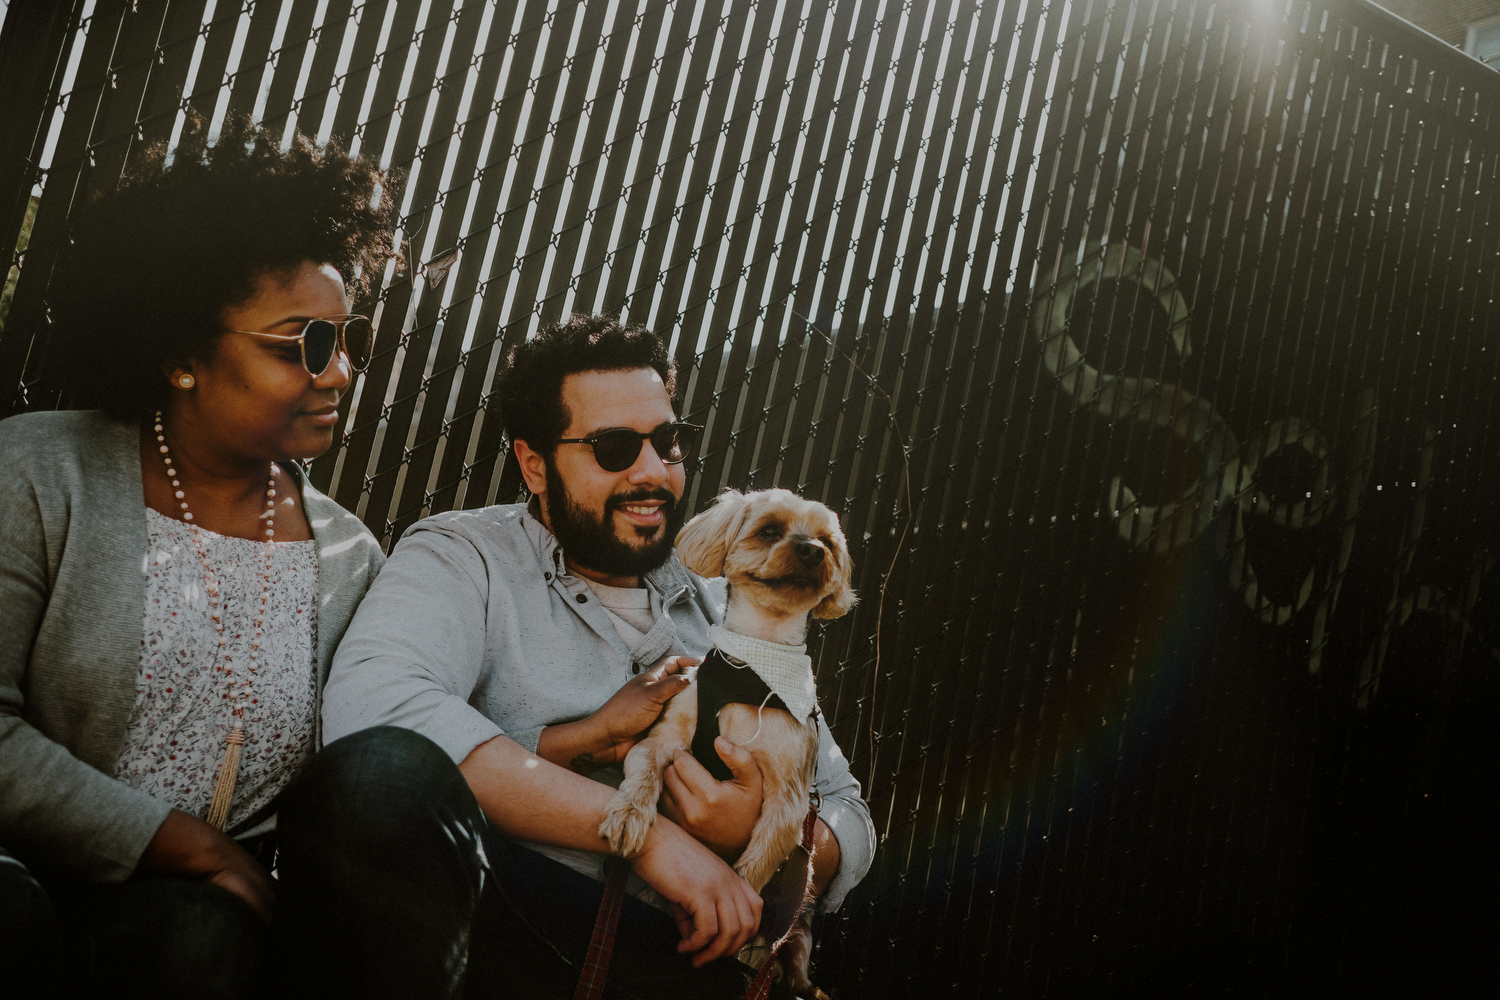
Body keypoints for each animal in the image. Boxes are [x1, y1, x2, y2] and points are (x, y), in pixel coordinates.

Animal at [597, 485, 858, 995]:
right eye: (770, 530)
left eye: (827, 542)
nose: (812, 551)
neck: (753, 672)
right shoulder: (663, 737)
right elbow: (642, 769)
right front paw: (628, 816)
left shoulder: (790, 803)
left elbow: (753, 867)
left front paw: (735, 899)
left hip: (798, 921)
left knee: (789, 952)